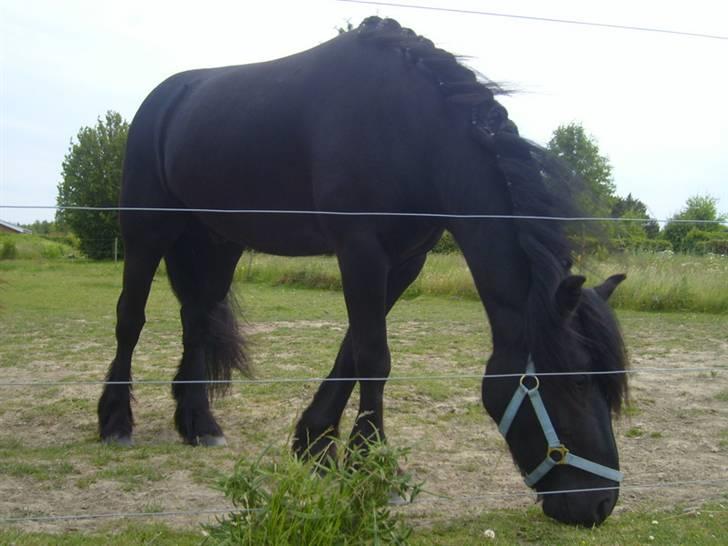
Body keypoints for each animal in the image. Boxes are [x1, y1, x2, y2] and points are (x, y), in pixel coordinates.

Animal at [98, 16, 629, 526]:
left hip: (216, 241)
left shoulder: (403, 261)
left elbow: (352, 349)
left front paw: (315, 444)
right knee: (130, 318)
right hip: (146, 231)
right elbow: (375, 357)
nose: (600, 504)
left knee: (197, 319)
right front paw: (372, 466)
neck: (415, 131)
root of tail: (164, 99)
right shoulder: (360, 249)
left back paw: (200, 425)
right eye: (578, 382)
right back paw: (115, 422)